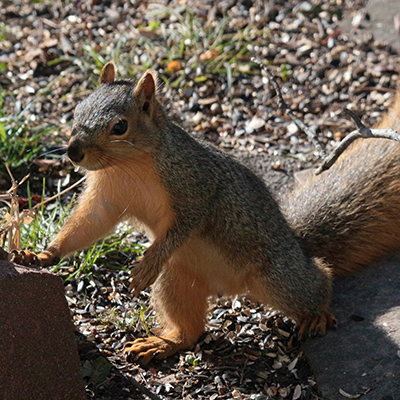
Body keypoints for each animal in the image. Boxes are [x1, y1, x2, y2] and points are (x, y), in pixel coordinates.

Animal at [18, 61, 394, 364]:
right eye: (77, 109)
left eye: (120, 126)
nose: (73, 152)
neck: (126, 167)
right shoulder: (106, 198)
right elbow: (87, 226)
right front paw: (42, 254)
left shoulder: (196, 189)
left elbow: (182, 227)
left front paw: (146, 264)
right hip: (178, 279)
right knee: (191, 331)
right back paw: (162, 344)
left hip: (278, 276)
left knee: (316, 281)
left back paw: (316, 313)